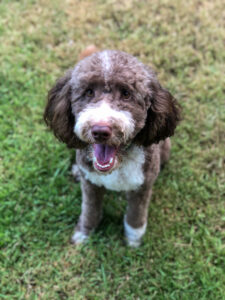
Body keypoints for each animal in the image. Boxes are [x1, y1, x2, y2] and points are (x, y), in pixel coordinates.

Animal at [44, 48, 181, 247]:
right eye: (88, 92)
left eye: (126, 93)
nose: (100, 131)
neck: (117, 165)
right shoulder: (90, 185)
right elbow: (90, 211)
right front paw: (83, 233)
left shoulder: (142, 187)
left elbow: (135, 217)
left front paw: (133, 240)